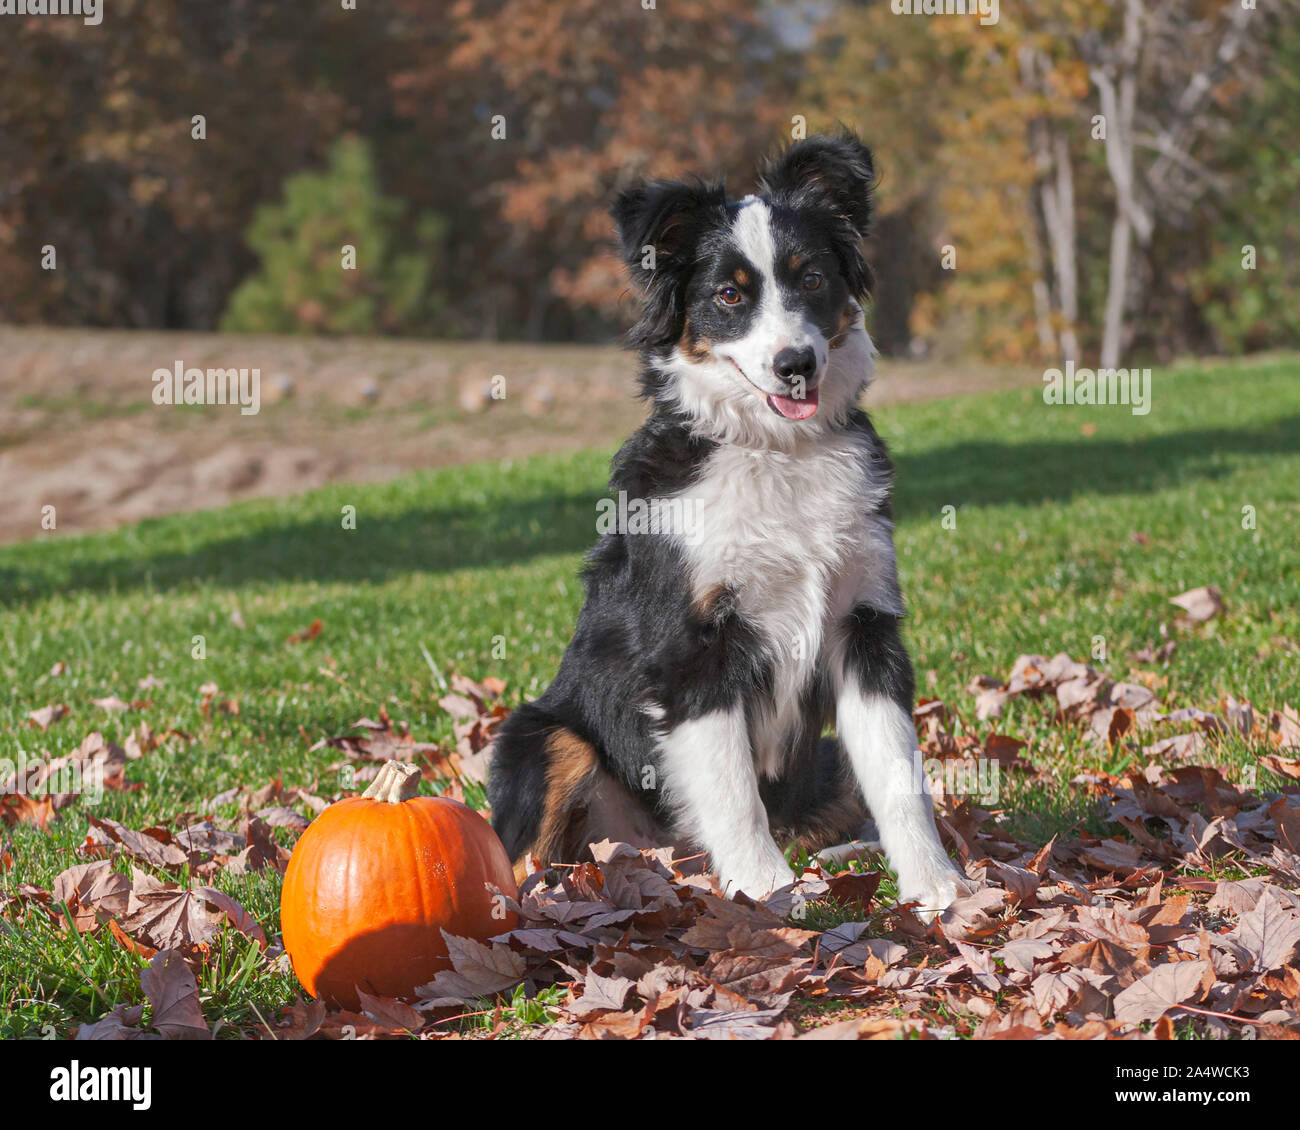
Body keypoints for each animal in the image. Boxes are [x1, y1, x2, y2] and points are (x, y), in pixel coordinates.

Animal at [488, 130, 977, 915]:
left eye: (812, 279)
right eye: (729, 295)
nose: (795, 364)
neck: (775, 452)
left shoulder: (864, 626)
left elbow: (901, 777)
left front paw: (938, 886)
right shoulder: (692, 649)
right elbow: (732, 789)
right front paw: (769, 893)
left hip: (822, 762)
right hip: (544, 736)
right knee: (528, 854)